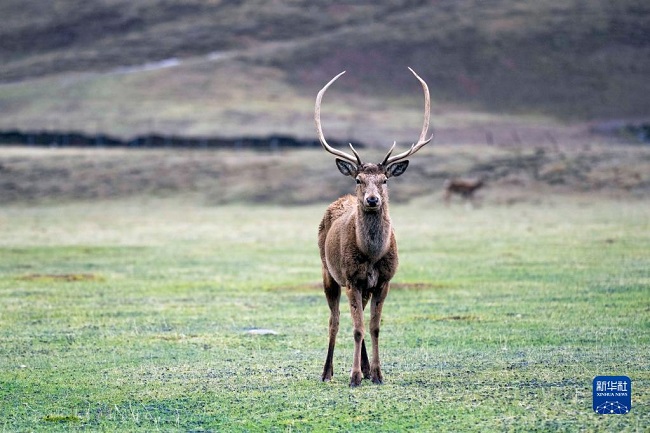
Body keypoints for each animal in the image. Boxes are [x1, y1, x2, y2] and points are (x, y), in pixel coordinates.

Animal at [316, 66, 430, 384]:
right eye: (358, 179)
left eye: (385, 180)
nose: (371, 199)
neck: (372, 254)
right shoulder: (352, 278)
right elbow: (356, 328)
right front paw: (354, 377)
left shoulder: (384, 281)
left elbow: (375, 326)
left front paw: (377, 373)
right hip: (328, 273)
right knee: (335, 320)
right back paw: (327, 372)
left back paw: (366, 369)